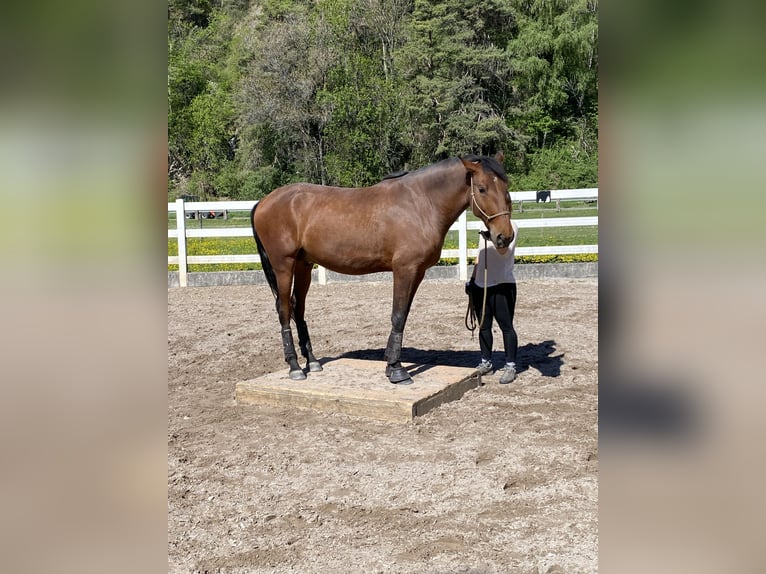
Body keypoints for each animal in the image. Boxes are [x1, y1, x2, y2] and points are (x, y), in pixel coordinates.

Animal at [251, 153, 514, 385]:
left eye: (506, 187)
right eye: (482, 189)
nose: (505, 237)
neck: (420, 204)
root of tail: (263, 201)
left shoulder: (417, 273)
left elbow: (403, 316)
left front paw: (390, 364)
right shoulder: (404, 270)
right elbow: (397, 315)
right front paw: (397, 371)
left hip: (304, 265)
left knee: (298, 308)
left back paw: (313, 362)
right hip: (284, 266)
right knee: (284, 309)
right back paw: (295, 367)